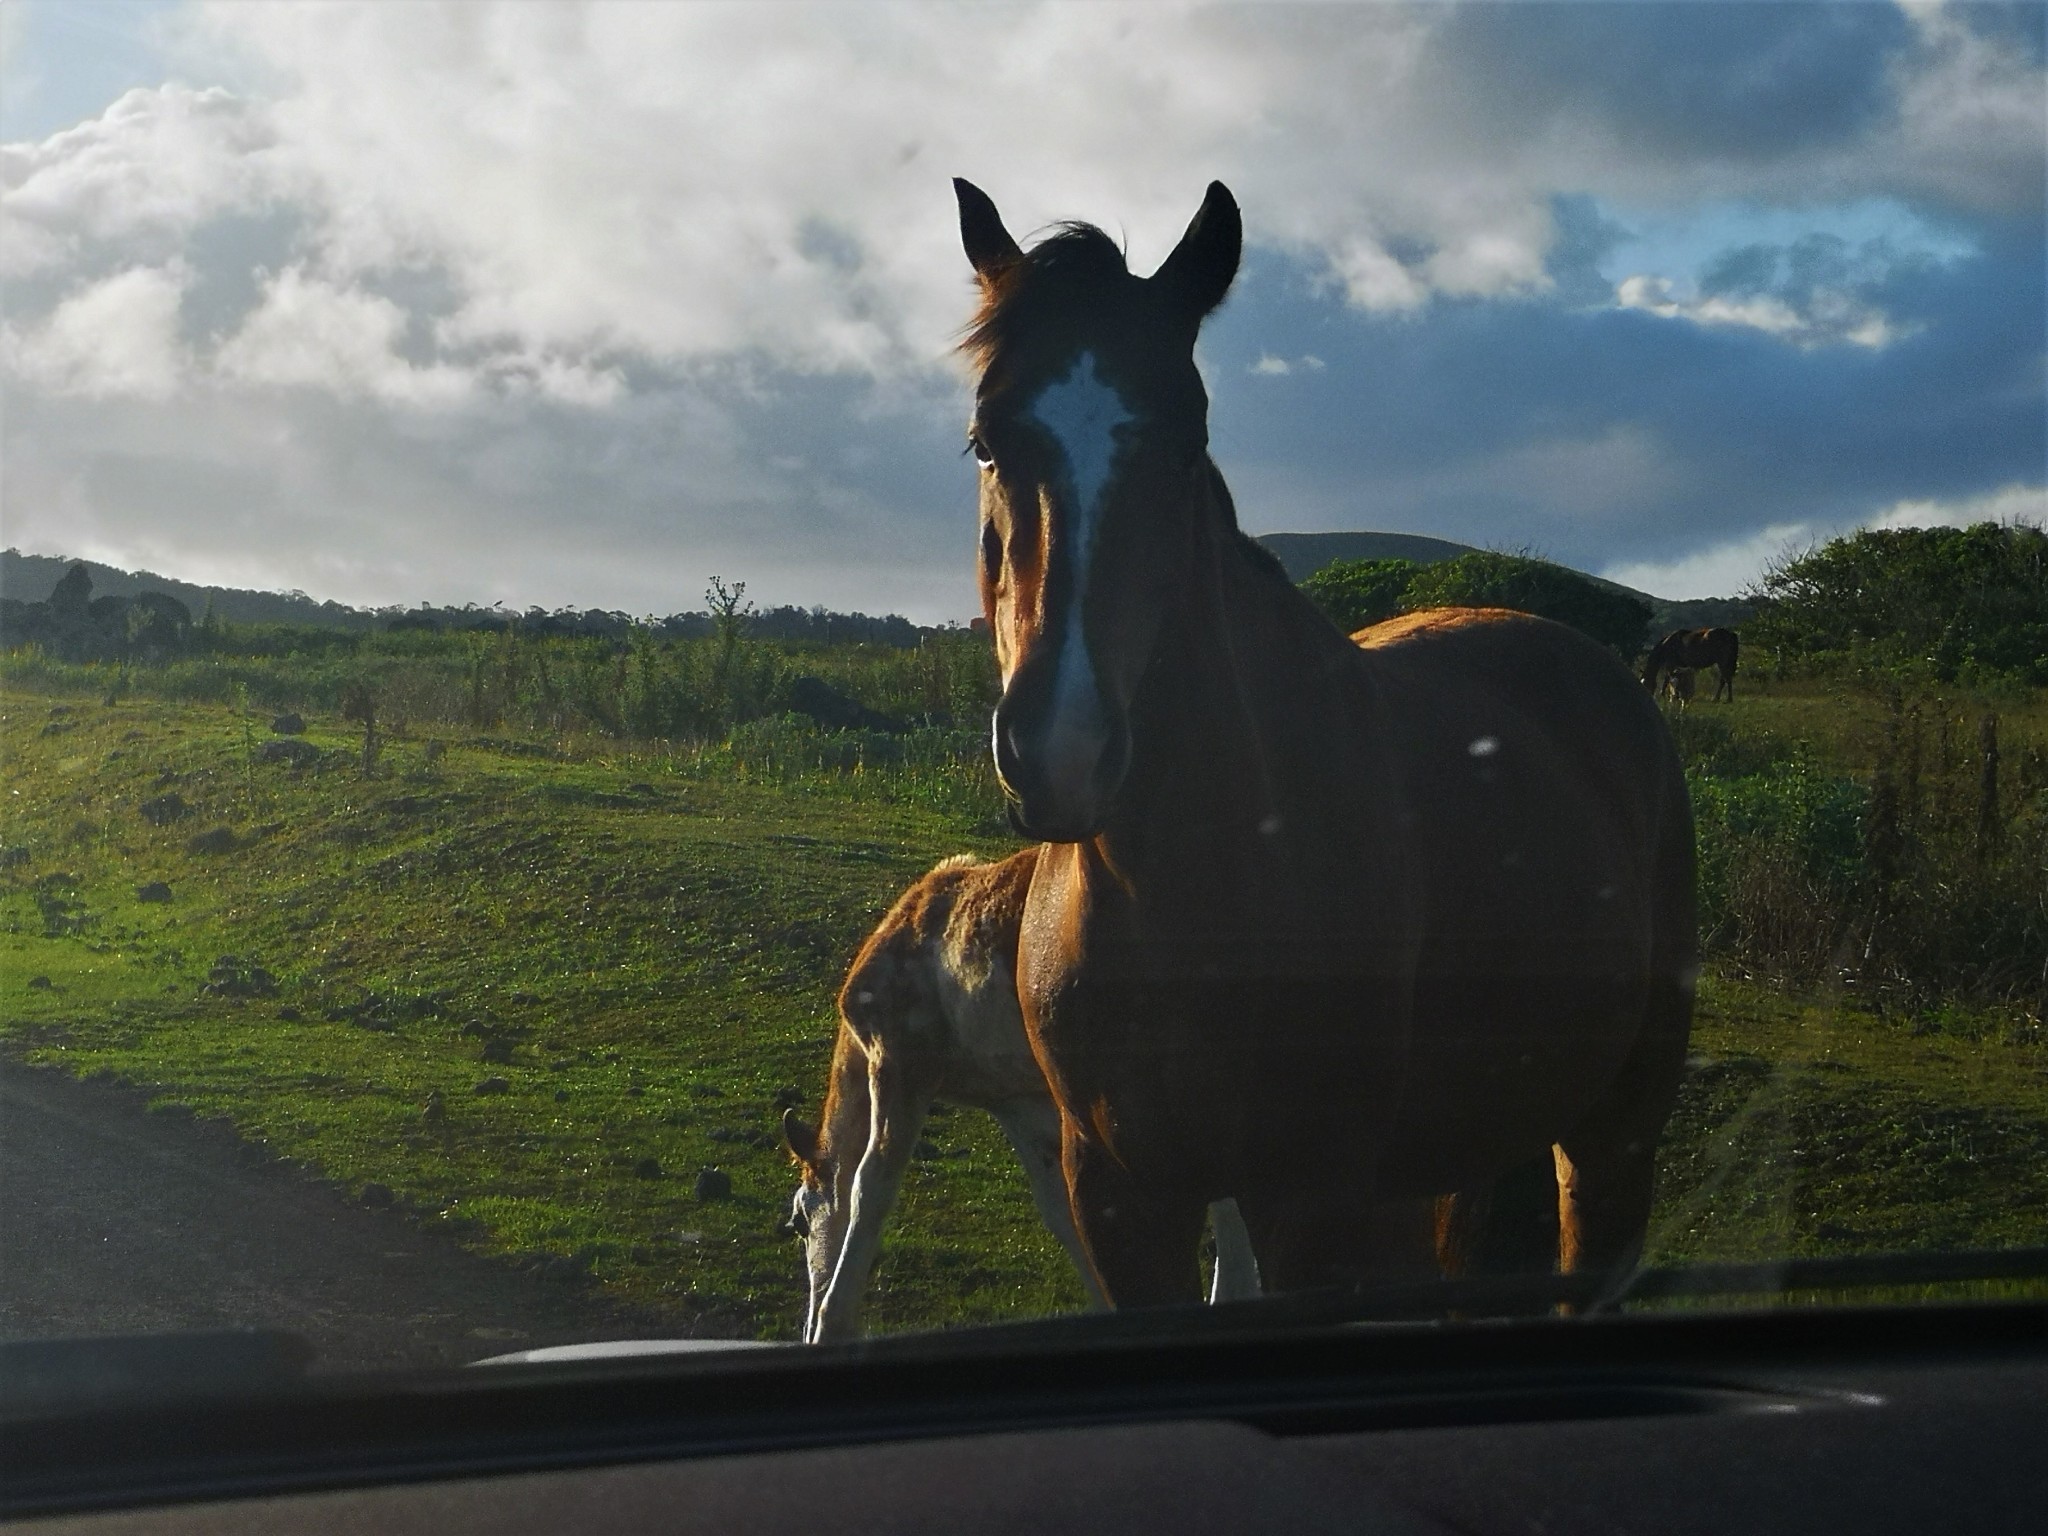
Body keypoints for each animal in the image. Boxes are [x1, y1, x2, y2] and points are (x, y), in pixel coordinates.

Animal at [954, 180, 1695, 1310]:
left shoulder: (1310, 1200)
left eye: (1186, 444)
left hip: (1614, 1137)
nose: (1061, 750)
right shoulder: (1121, 1195)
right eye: (987, 442)